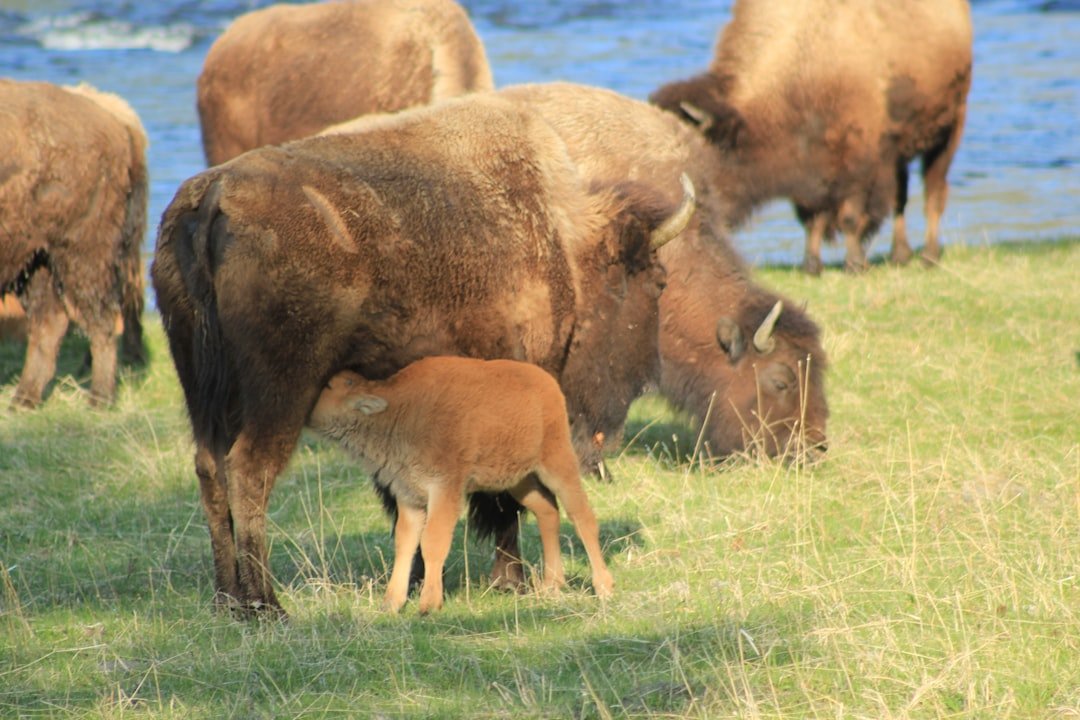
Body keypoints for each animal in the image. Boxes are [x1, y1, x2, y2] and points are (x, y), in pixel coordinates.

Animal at [0, 79, 147, 408]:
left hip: (81, 253)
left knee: (101, 321)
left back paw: (100, 399)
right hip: (36, 259)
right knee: (49, 322)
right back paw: (24, 399)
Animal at [310, 358, 614, 613]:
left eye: (328, 386)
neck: (398, 409)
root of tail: (546, 382)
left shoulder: (444, 490)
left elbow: (433, 541)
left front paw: (429, 605)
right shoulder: (410, 495)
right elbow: (405, 543)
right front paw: (391, 604)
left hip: (557, 463)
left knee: (581, 516)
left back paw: (603, 587)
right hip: (520, 480)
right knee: (548, 511)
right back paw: (552, 585)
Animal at [649, 0, 973, 274]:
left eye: (695, 157)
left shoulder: (858, 160)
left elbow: (850, 216)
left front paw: (854, 264)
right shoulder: (805, 166)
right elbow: (811, 219)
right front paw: (812, 265)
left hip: (948, 131)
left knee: (933, 193)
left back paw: (929, 256)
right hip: (902, 152)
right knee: (901, 200)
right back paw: (900, 255)